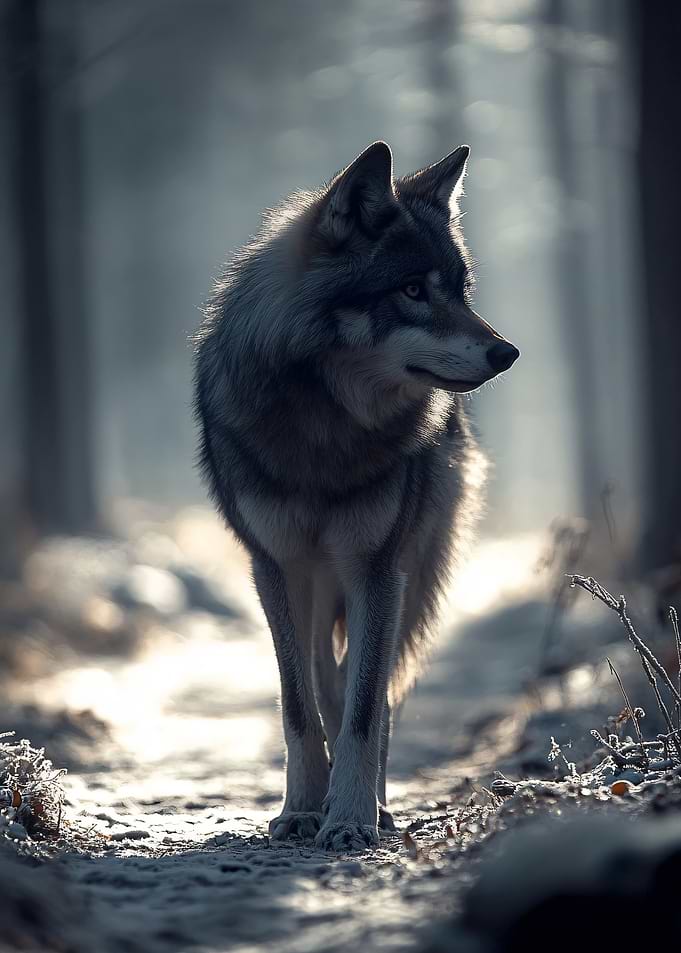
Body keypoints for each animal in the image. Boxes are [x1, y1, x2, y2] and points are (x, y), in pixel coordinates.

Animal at [193, 141, 519, 851]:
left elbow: (366, 708)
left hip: (410, 579)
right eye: (412, 290)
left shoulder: (377, 568)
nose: (507, 352)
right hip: (319, 585)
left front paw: (350, 818)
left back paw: (379, 804)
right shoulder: (275, 567)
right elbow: (299, 704)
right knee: (324, 677)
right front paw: (302, 810)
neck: (326, 428)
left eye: (459, 290)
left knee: (373, 687)